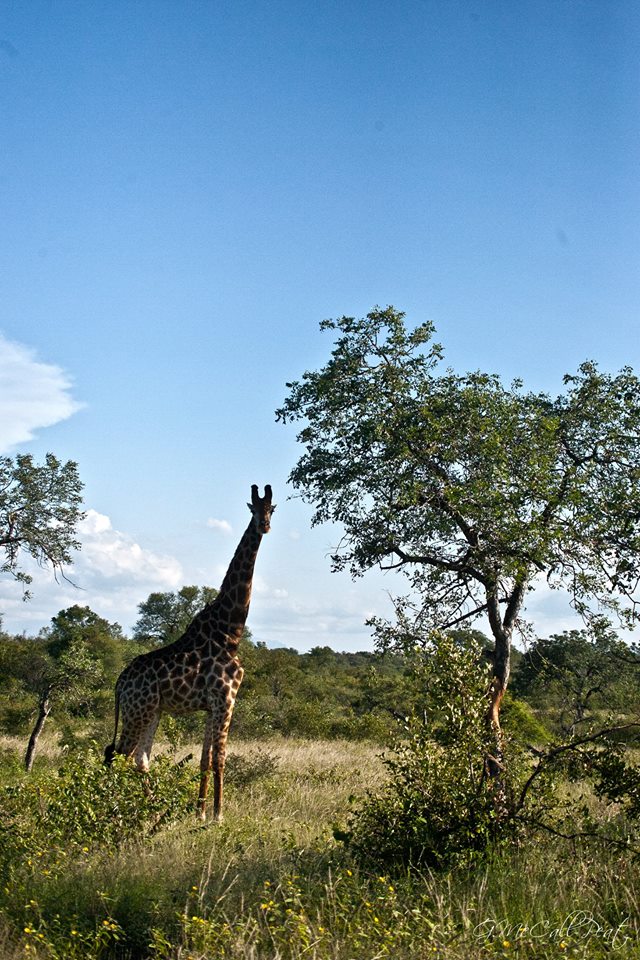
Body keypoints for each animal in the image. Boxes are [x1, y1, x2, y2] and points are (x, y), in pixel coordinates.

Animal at [104, 484, 275, 821]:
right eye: (253, 509)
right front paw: (218, 816)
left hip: (152, 711)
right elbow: (220, 758)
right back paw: (117, 813)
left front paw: (200, 813)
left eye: (272, 509)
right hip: (138, 710)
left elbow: (204, 760)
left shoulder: (211, 705)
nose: (264, 526)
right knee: (119, 756)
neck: (229, 631)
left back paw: (153, 811)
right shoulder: (226, 698)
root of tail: (120, 683)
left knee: (139, 758)